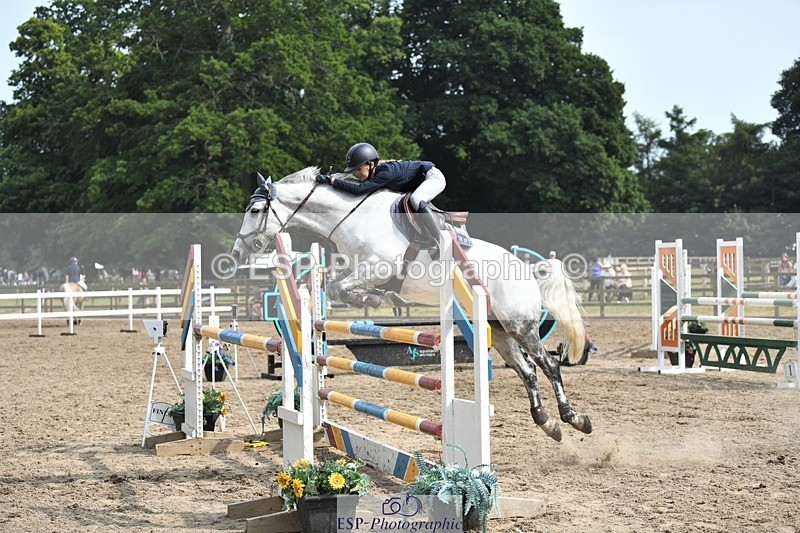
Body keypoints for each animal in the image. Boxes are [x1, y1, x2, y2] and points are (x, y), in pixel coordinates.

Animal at [231, 167, 591, 441]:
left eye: (255, 211)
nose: (237, 253)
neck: (350, 217)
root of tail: (528, 270)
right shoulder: (359, 269)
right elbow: (335, 288)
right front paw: (374, 298)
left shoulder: (379, 266)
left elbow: (338, 287)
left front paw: (373, 298)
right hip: (499, 331)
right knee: (527, 371)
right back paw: (546, 422)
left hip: (520, 324)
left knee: (549, 364)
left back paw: (573, 418)